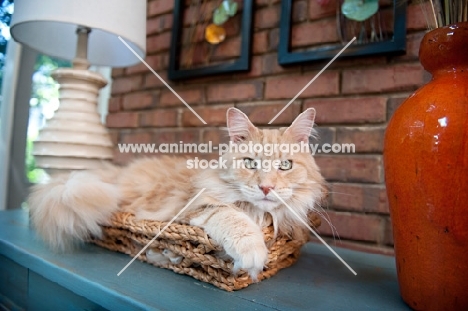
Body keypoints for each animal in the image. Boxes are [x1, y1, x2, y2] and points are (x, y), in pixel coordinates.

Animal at [29, 108, 326, 280]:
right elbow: (235, 219)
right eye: (250, 163)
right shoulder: (197, 208)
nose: (266, 187)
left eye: (285, 165)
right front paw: (253, 257)